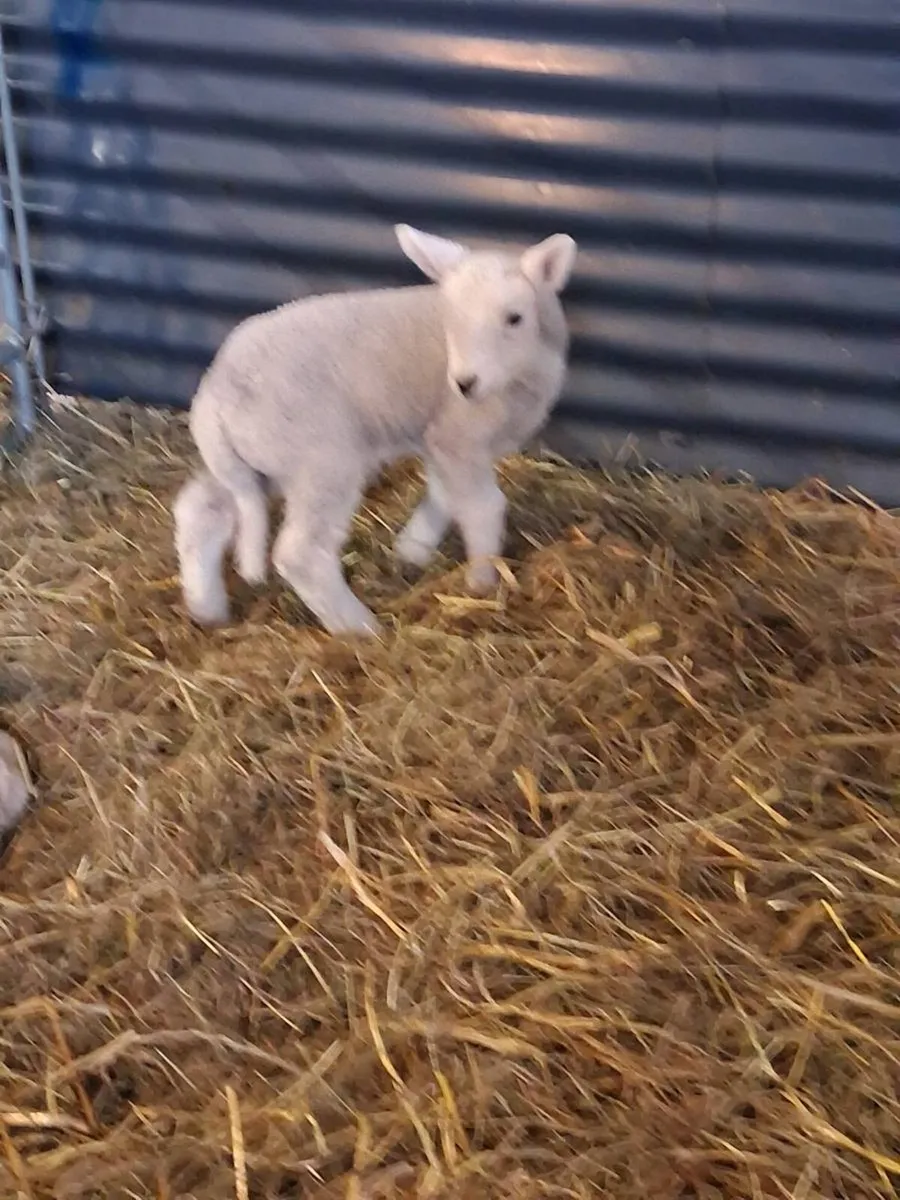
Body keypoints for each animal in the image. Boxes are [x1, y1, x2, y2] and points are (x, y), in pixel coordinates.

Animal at [173, 224, 577, 636]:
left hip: (257, 463)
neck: (524, 371)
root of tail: (215, 394)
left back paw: (207, 608)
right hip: (321, 460)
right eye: (450, 319)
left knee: (200, 510)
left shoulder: (437, 438)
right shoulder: (457, 436)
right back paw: (361, 629)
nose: (464, 384)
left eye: (515, 318)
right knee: (300, 553)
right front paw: (484, 581)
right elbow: (482, 506)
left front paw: (413, 548)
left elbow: (444, 493)